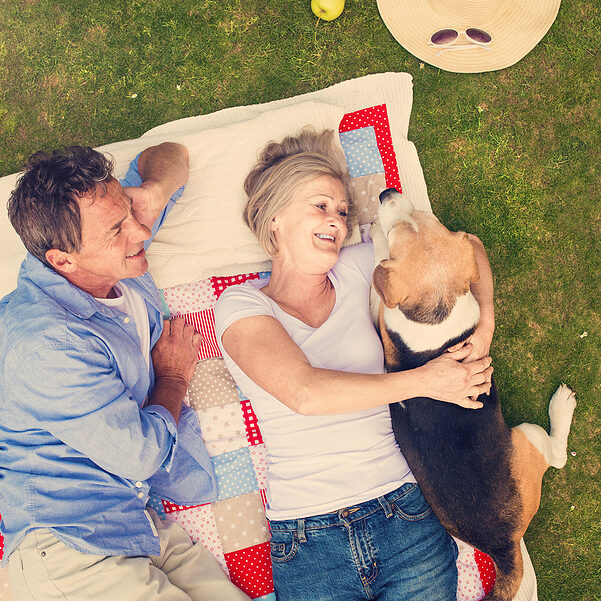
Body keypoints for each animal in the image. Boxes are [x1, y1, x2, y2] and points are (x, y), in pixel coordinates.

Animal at [370, 190, 576, 600]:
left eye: (420, 218)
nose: (386, 193)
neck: (440, 313)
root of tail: (503, 544)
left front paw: (371, 236)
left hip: (528, 435)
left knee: (558, 456)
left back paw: (561, 406)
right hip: (526, 437)